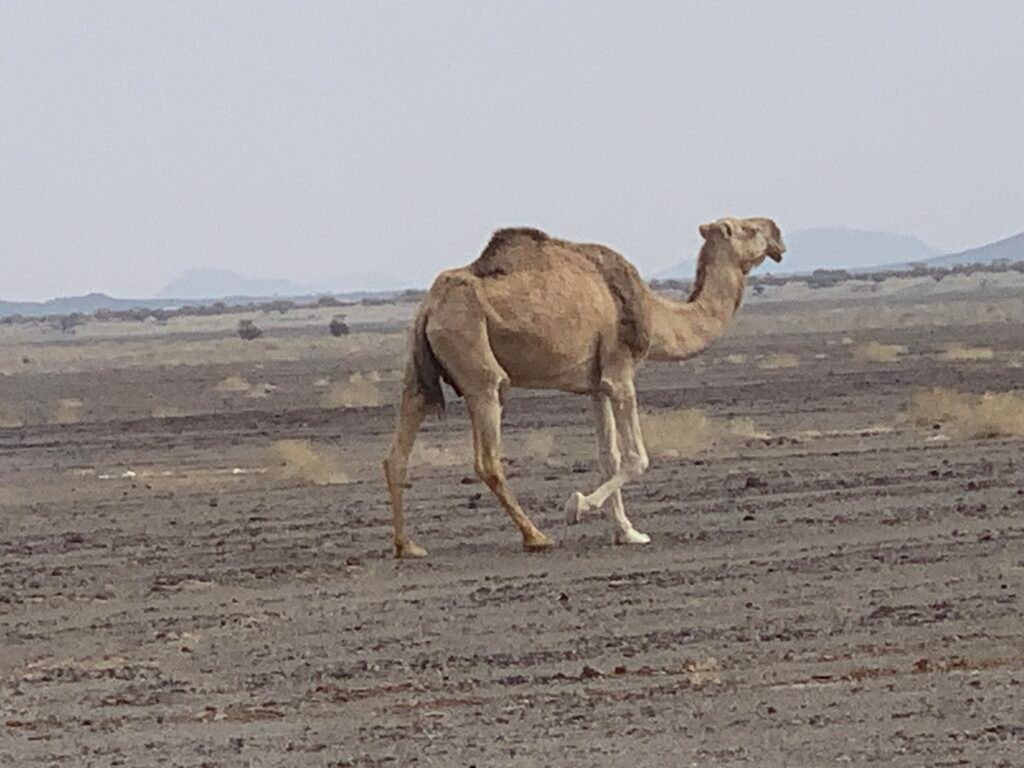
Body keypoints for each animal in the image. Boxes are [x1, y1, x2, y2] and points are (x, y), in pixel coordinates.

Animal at [383, 217, 784, 557]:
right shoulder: (620, 373)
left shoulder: (596, 386)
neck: (656, 316)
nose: (778, 234)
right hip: (475, 359)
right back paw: (536, 536)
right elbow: (637, 457)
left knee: (398, 449)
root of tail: (428, 308)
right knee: (487, 455)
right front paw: (576, 506)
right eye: (749, 229)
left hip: (418, 370)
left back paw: (407, 546)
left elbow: (609, 457)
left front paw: (627, 532)